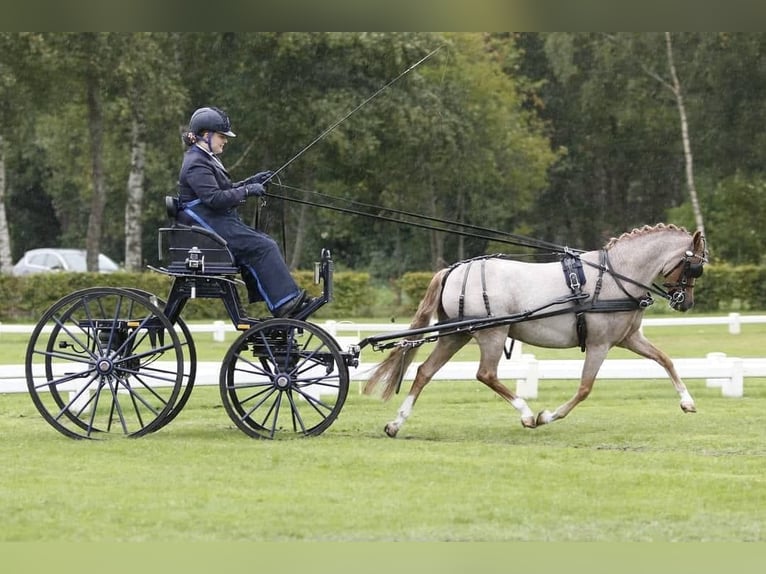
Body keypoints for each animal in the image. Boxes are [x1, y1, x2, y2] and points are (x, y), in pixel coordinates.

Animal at [364, 224, 708, 436]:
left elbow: (665, 360)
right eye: (694, 267)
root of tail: (454, 269)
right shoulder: (600, 344)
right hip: (492, 333)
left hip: (457, 334)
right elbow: (584, 389)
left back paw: (396, 423)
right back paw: (527, 414)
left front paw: (687, 402)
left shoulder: (628, 338)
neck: (615, 276)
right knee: (485, 374)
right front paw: (547, 416)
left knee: (424, 371)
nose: (686, 303)